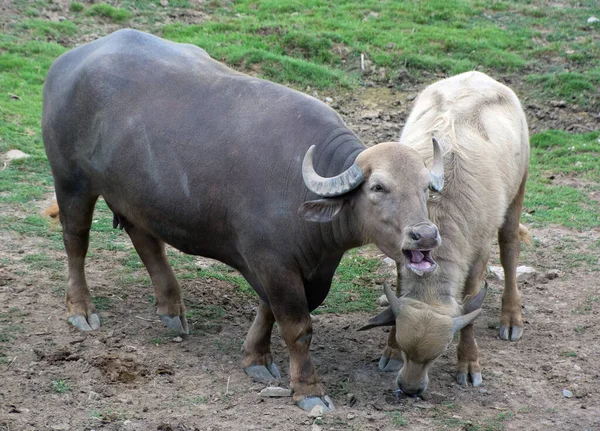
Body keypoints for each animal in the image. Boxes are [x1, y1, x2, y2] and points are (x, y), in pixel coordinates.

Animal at [43, 28, 446, 410]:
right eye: (378, 187)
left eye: (426, 187)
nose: (425, 236)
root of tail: (66, 63)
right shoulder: (272, 261)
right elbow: (297, 326)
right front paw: (308, 389)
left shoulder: (298, 266)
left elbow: (269, 309)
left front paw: (255, 357)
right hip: (71, 180)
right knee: (76, 240)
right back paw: (81, 309)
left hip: (135, 194)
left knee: (145, 240)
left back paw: (171, 310)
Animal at [358, 71, 532, 398]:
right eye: (405, 349)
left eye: (438, 355)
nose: (410, 389)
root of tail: (477, 74)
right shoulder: (401, 252)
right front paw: (389, 351)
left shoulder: (477, 255)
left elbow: (471, 304)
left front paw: (469, 363)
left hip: (519, 189)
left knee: (510, 247)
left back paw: (511, 317)